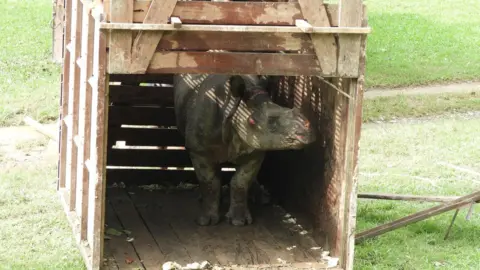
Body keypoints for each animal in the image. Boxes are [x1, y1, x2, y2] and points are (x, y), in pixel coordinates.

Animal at [172, 73, 316, 226]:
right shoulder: (198, 150)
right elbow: (210, 182)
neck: (233, 106)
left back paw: (259, 199)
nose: (306, 132)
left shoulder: (255, 150)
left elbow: (240, 182)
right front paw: (207, 221)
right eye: (252, 122)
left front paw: (239, 222)